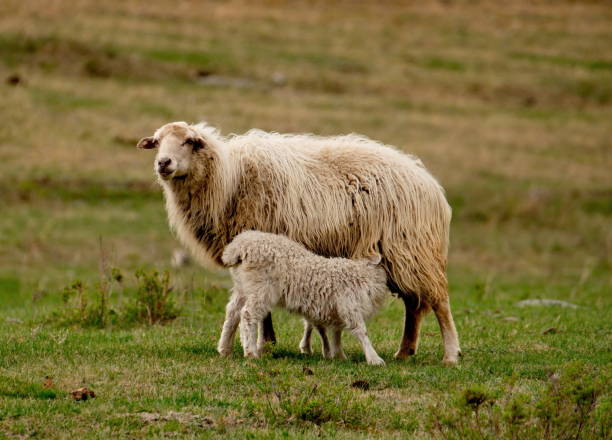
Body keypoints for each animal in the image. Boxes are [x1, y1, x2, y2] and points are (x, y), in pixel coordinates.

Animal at [216, 229, 388, 366]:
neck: (361, 274)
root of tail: (238, 246)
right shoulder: (349, 306)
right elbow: (361, 331)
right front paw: (374, 359)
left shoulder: (335, 309)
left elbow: (336, 333)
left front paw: (339, 356)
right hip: (261, 288)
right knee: (248, 314)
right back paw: (251, 352)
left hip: (242, 287)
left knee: (232, 311)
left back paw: (225, 348)